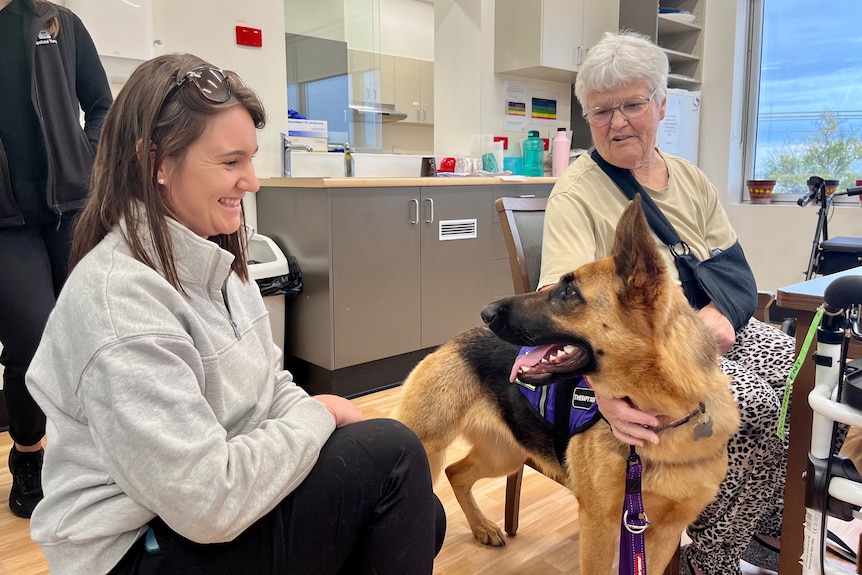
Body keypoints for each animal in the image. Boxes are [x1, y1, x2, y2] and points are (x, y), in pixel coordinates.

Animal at [398, 197, 744, 572]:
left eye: (568, 291)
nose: (485, 312)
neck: (666, 422)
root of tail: (454, 340)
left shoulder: (663, 534)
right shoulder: (599, 526)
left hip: (505, 455)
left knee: (456, 472)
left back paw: (481, 527)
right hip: (429, 449)